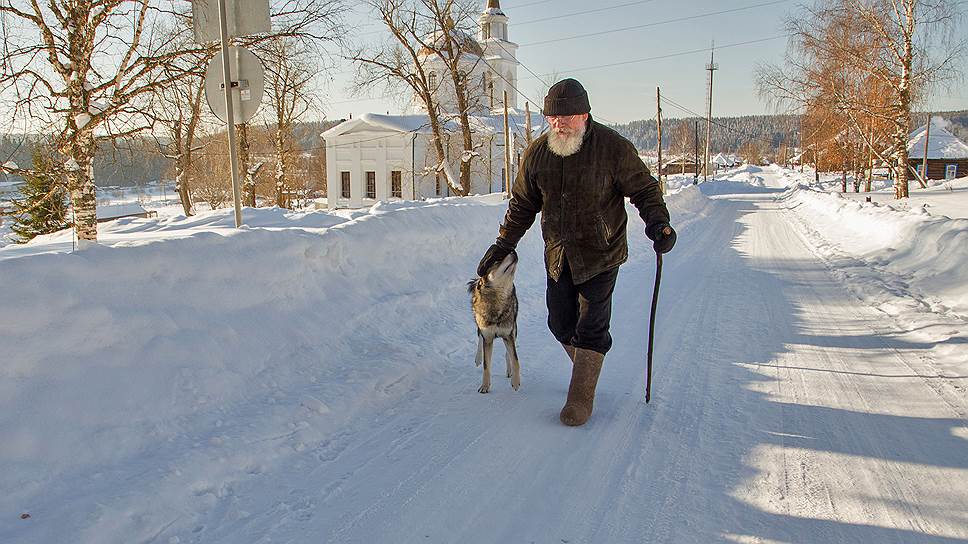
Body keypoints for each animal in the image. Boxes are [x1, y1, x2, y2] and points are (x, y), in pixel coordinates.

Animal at [468, 251, 520, 392]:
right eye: (498, 260)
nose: (513, 251)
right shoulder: (488, 337)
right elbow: (486, 366)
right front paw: (484, 387)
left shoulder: (508, 335)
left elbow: (515, 359)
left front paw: (516, 382)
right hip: (479, 325)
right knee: (480, 338)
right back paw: (477, 359)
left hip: (514, 330)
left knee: (508, 353)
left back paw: (509, 371)